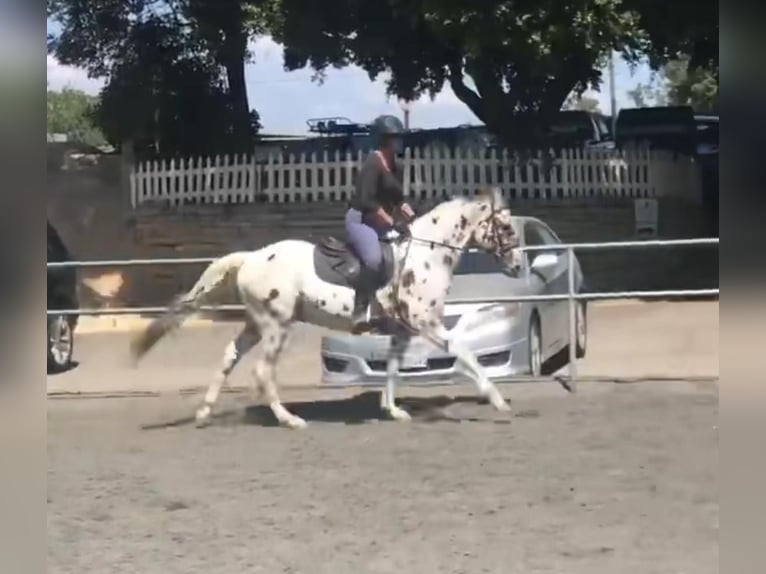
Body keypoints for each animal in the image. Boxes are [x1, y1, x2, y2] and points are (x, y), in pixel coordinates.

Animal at [132, 187, 524, 430]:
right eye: (505, 227)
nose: (518, 266)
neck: (426, 253)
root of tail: (251, 258)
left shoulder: (401, 329)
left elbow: (393, 368)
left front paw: (393, 409)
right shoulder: (427, 323)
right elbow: (466, 353)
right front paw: (498, 401)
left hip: (256, 324)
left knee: (230, 356)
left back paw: (204, 412)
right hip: (276, 325)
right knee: (262, 371)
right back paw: (290, 420)